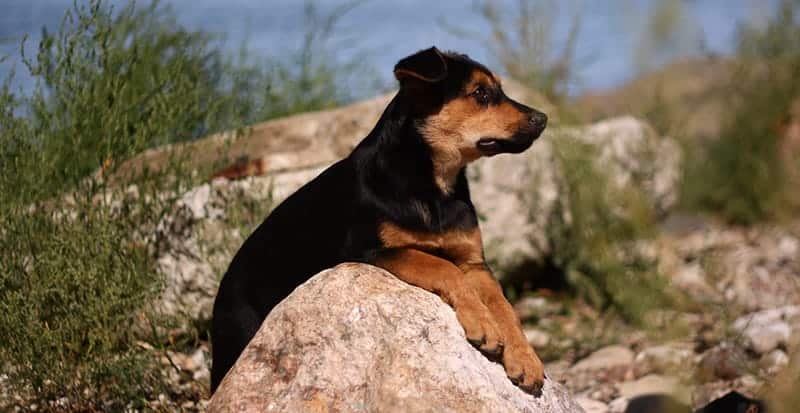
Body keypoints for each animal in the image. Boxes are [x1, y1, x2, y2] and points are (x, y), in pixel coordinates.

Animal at [209, 46, 552, 394]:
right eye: (481, 93)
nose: (543, 119)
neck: (432, 185)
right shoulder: (371, 250)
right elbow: (443, 267)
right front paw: (483, 324)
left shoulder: (473, 261)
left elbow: (503, 305)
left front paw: (525, 358)